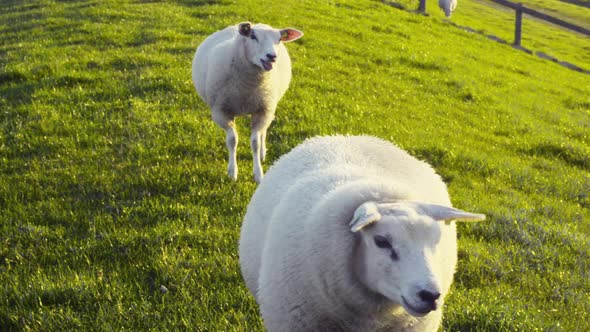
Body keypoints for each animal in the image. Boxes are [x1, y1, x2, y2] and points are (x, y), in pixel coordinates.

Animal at [193, 22, 306, 183]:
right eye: (253, 36)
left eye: (279, 39)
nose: (272, 56)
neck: (246, 87)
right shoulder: (220, 112)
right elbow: (232, 140)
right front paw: (232, 172)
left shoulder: (263, 110)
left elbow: (255, 143)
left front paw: (258, 173)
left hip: (268, 107)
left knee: (264, 131)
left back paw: (263, 154)